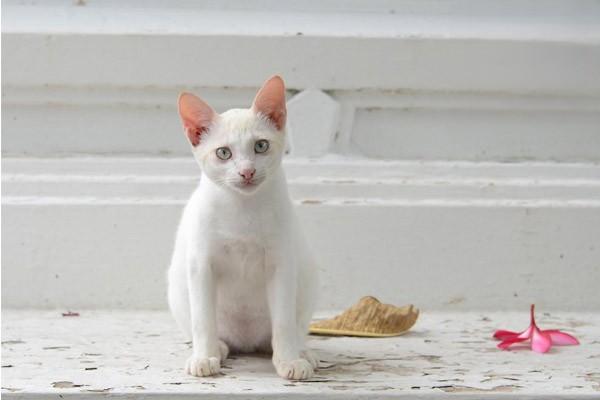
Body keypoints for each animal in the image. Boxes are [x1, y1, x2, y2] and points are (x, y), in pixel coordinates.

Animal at [166, 76, 322, 382]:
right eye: (223, 153)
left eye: (260, 146)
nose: (247, 171)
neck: (243, 209)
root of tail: (248, 343)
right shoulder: (201, 265)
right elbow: (203, 319)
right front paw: (204, 357)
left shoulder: (282, 264)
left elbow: (284, 321)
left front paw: (289, 360)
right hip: (177, 288)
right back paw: (219, 347)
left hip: (307, 278)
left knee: (291, 328)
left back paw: (300, 351)